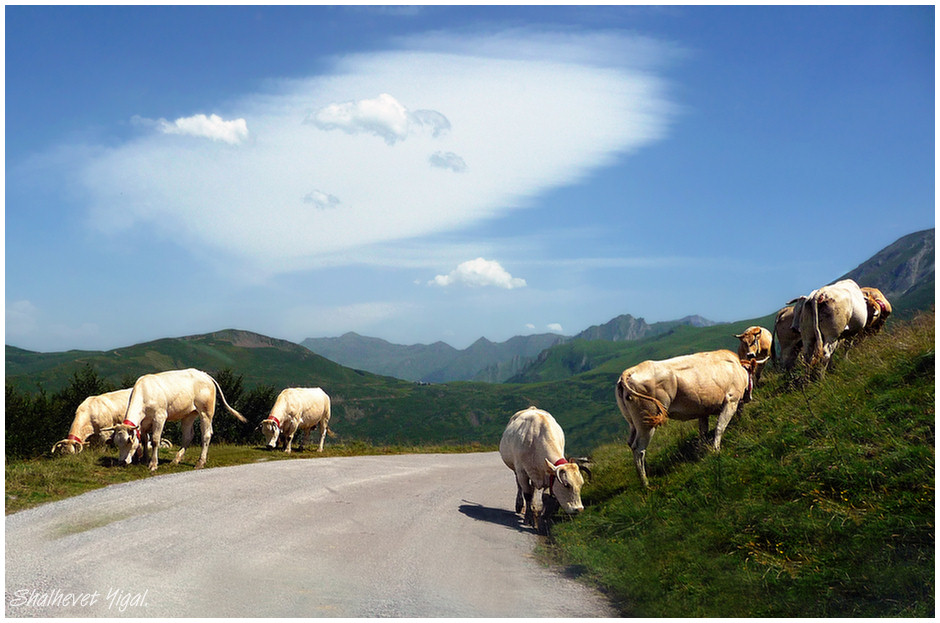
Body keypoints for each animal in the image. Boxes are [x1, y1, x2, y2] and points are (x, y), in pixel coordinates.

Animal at [103, 368, 246, 470]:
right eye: (116, 443)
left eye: (128, 441)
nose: (121, 462)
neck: (145, 393)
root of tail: (204, 374)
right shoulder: (143, 423)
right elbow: (144, 440)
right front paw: (144, 459)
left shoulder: (160, 416)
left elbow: (155, 440)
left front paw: (153, 464)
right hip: (189, 414)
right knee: (188, 436)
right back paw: (176, 460)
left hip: (206, 411)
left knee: (206, 434)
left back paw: (200, 462)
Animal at [612, 352, 752, 488]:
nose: (749, 397)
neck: (737, 368)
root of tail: (629, 372)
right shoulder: (731, 400)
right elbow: (719, 427)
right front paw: (716, 450)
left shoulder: (703, 411)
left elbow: (703, 432)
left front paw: (702, 450)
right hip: (646, 423)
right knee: (638, 448)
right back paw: (645, 482)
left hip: (633, 424)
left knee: (631, 444)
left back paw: (648, 472)